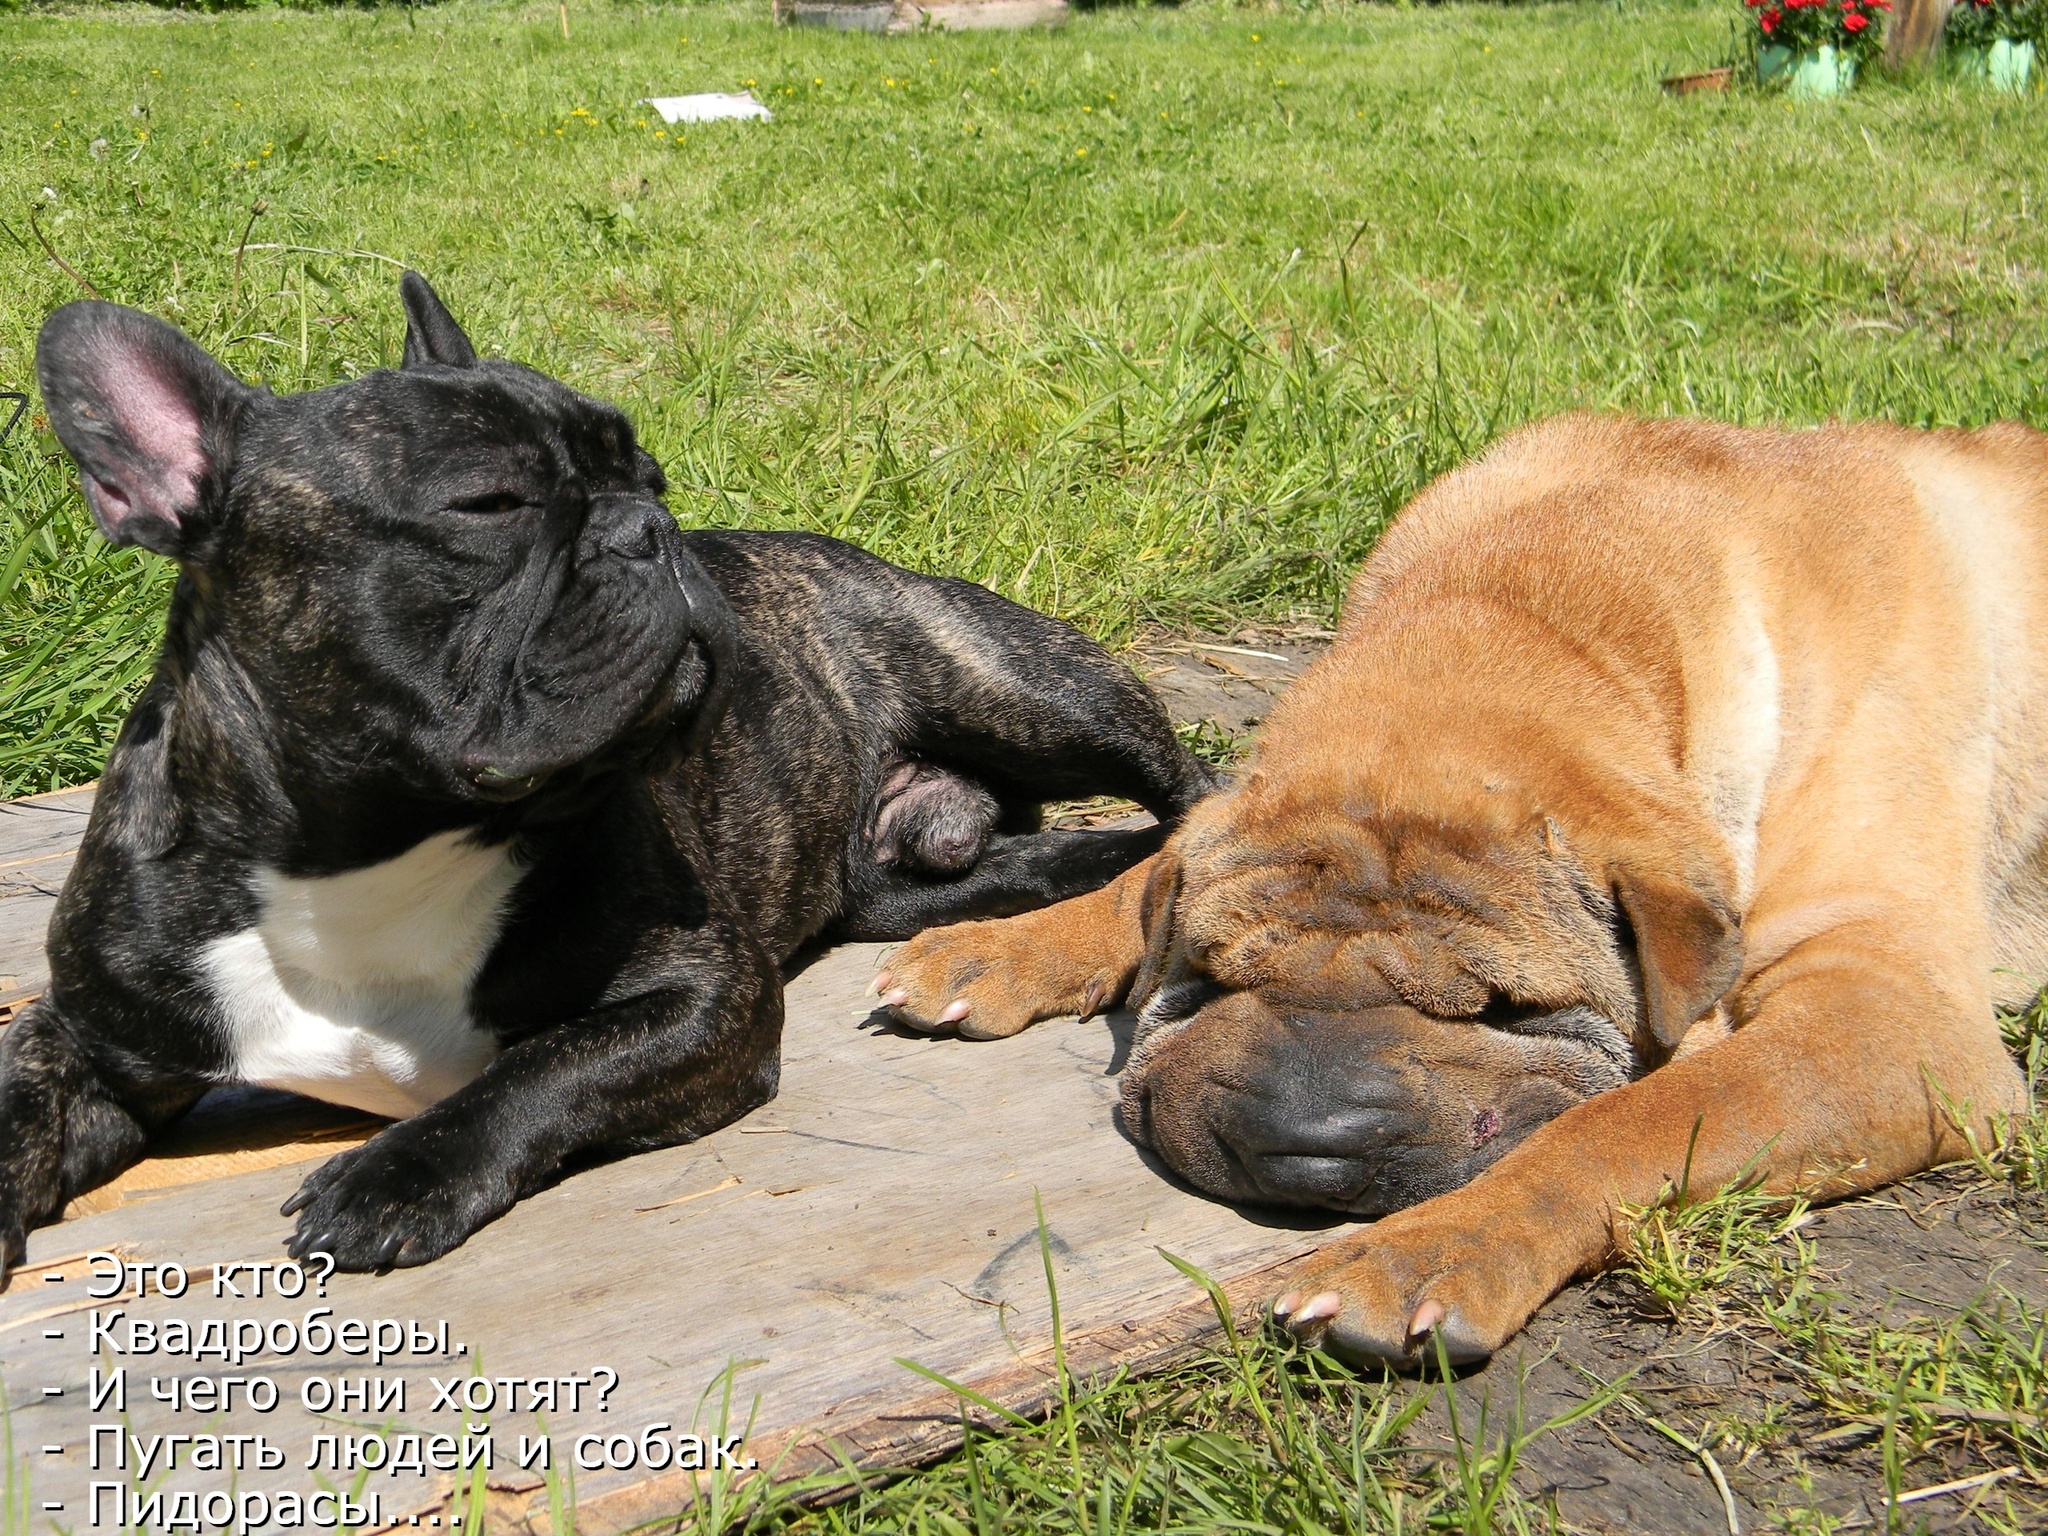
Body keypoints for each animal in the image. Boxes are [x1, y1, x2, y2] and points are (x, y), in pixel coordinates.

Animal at [872, 411, 2039, 1368]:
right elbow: (1150, 862)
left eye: (1505, 1009)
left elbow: (1631, 1121)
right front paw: (1005, 942)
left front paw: (1433, 1251)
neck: (1532, 613)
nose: (1302, 1152)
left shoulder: (1887, 1017)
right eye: (1211, 973)